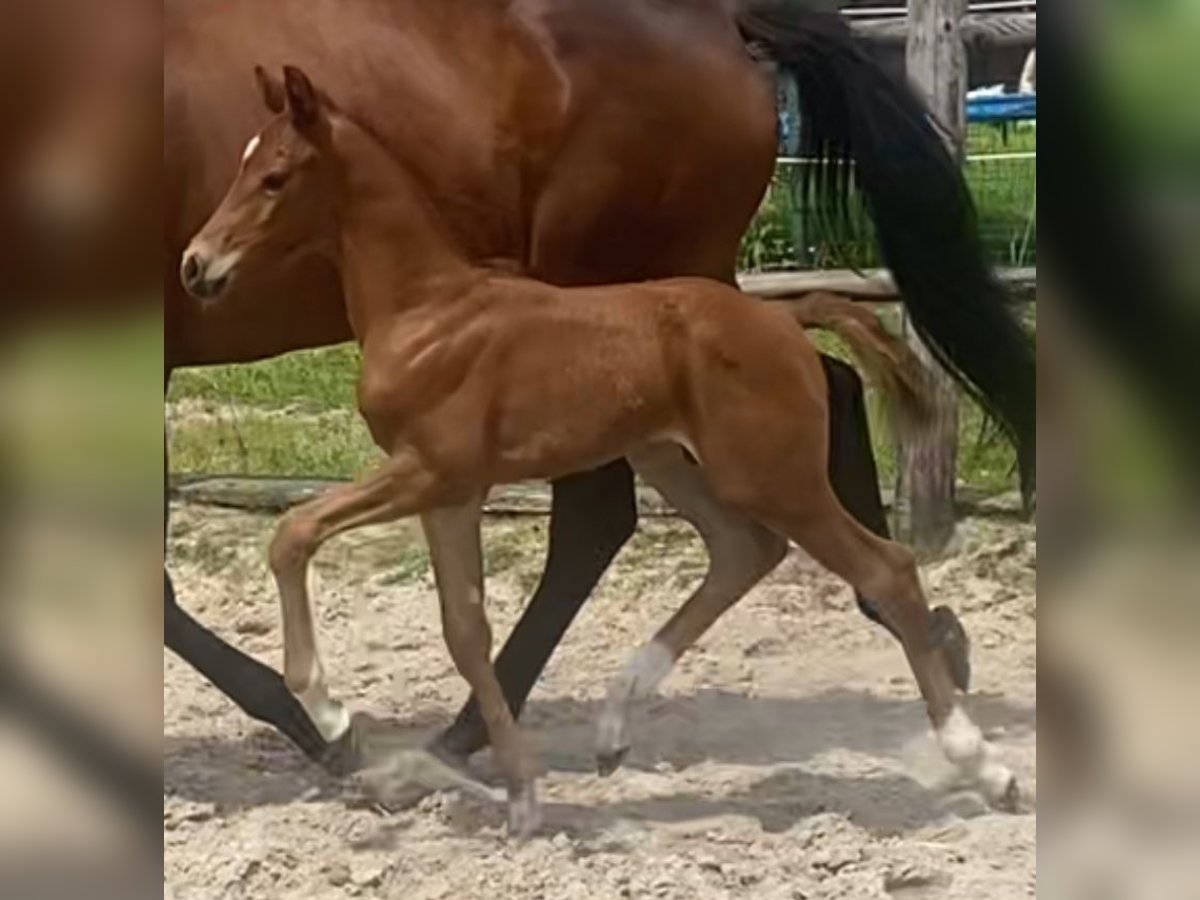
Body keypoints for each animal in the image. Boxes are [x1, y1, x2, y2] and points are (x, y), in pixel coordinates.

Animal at [182, 65, 1017, 840]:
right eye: (242, 165)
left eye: (274, 176)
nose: (195, 263)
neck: (425, 311)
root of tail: (785, 320)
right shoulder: (452, 493)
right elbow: (464, 631)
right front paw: (521, 795)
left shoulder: (427, 469)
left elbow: (294, 534)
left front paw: (329, 711)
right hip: (669, 459)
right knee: (743, 552)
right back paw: (615, 727)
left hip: (772, 474)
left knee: (883, 567)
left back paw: (984, 765)